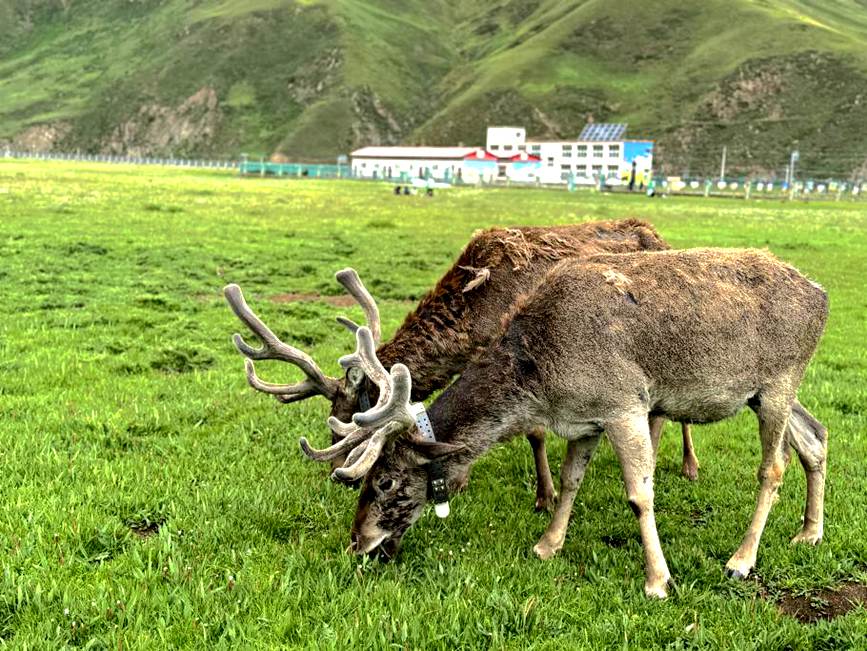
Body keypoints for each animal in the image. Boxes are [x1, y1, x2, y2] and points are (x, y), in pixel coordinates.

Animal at [224, 219, 702, 514]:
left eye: (345, 418)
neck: (474, 319)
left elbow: (533, 431)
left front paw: (543, 495)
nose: (335, 476)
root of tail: (659, 233)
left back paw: (688, 464)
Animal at [299, 248, 829, 598]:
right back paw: (809, 533)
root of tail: (822, 295)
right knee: (816, 436)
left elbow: (639, 495)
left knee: (773, 467)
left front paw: (658, 580)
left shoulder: (625, 403)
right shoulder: (586, 420)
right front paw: (546, 545)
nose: (358, 543)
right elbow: (572, 480)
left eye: (385, 480)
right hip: (768, 391)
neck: (544, 382)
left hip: (779, 380)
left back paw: (741, 560)